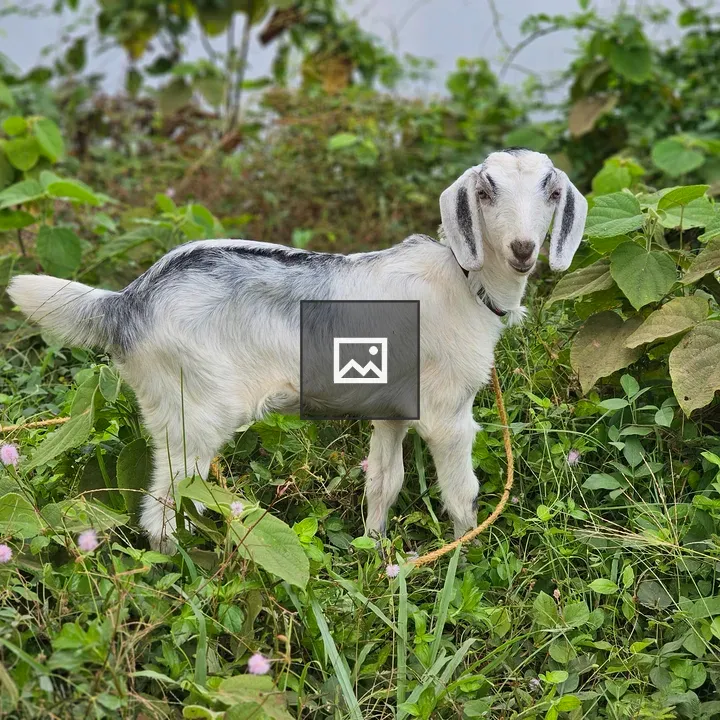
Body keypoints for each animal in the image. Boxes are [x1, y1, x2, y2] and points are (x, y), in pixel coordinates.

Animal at [8, 149, 587, 550]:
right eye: (485, 193)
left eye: (551, 193)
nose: (523, 250)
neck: (466, 281)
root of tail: (128, 302)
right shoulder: (448, 414)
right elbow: (461, 492)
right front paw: (466, 555)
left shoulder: (392, 410)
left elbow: (385, 482)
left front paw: (374, 554)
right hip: (196, 411)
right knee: (163, 508)